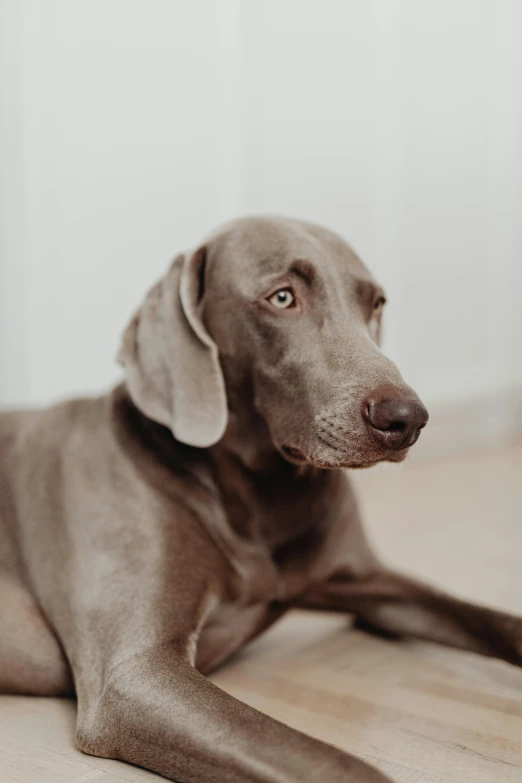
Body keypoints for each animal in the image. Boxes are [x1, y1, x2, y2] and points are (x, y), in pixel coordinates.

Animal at [1, 214, 520, 783]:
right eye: (282, 297)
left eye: (376, 303)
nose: (406, 418)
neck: (260, 501)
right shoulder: (134, 672)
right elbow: (326, 760)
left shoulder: (369, 582)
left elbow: (492, 619)